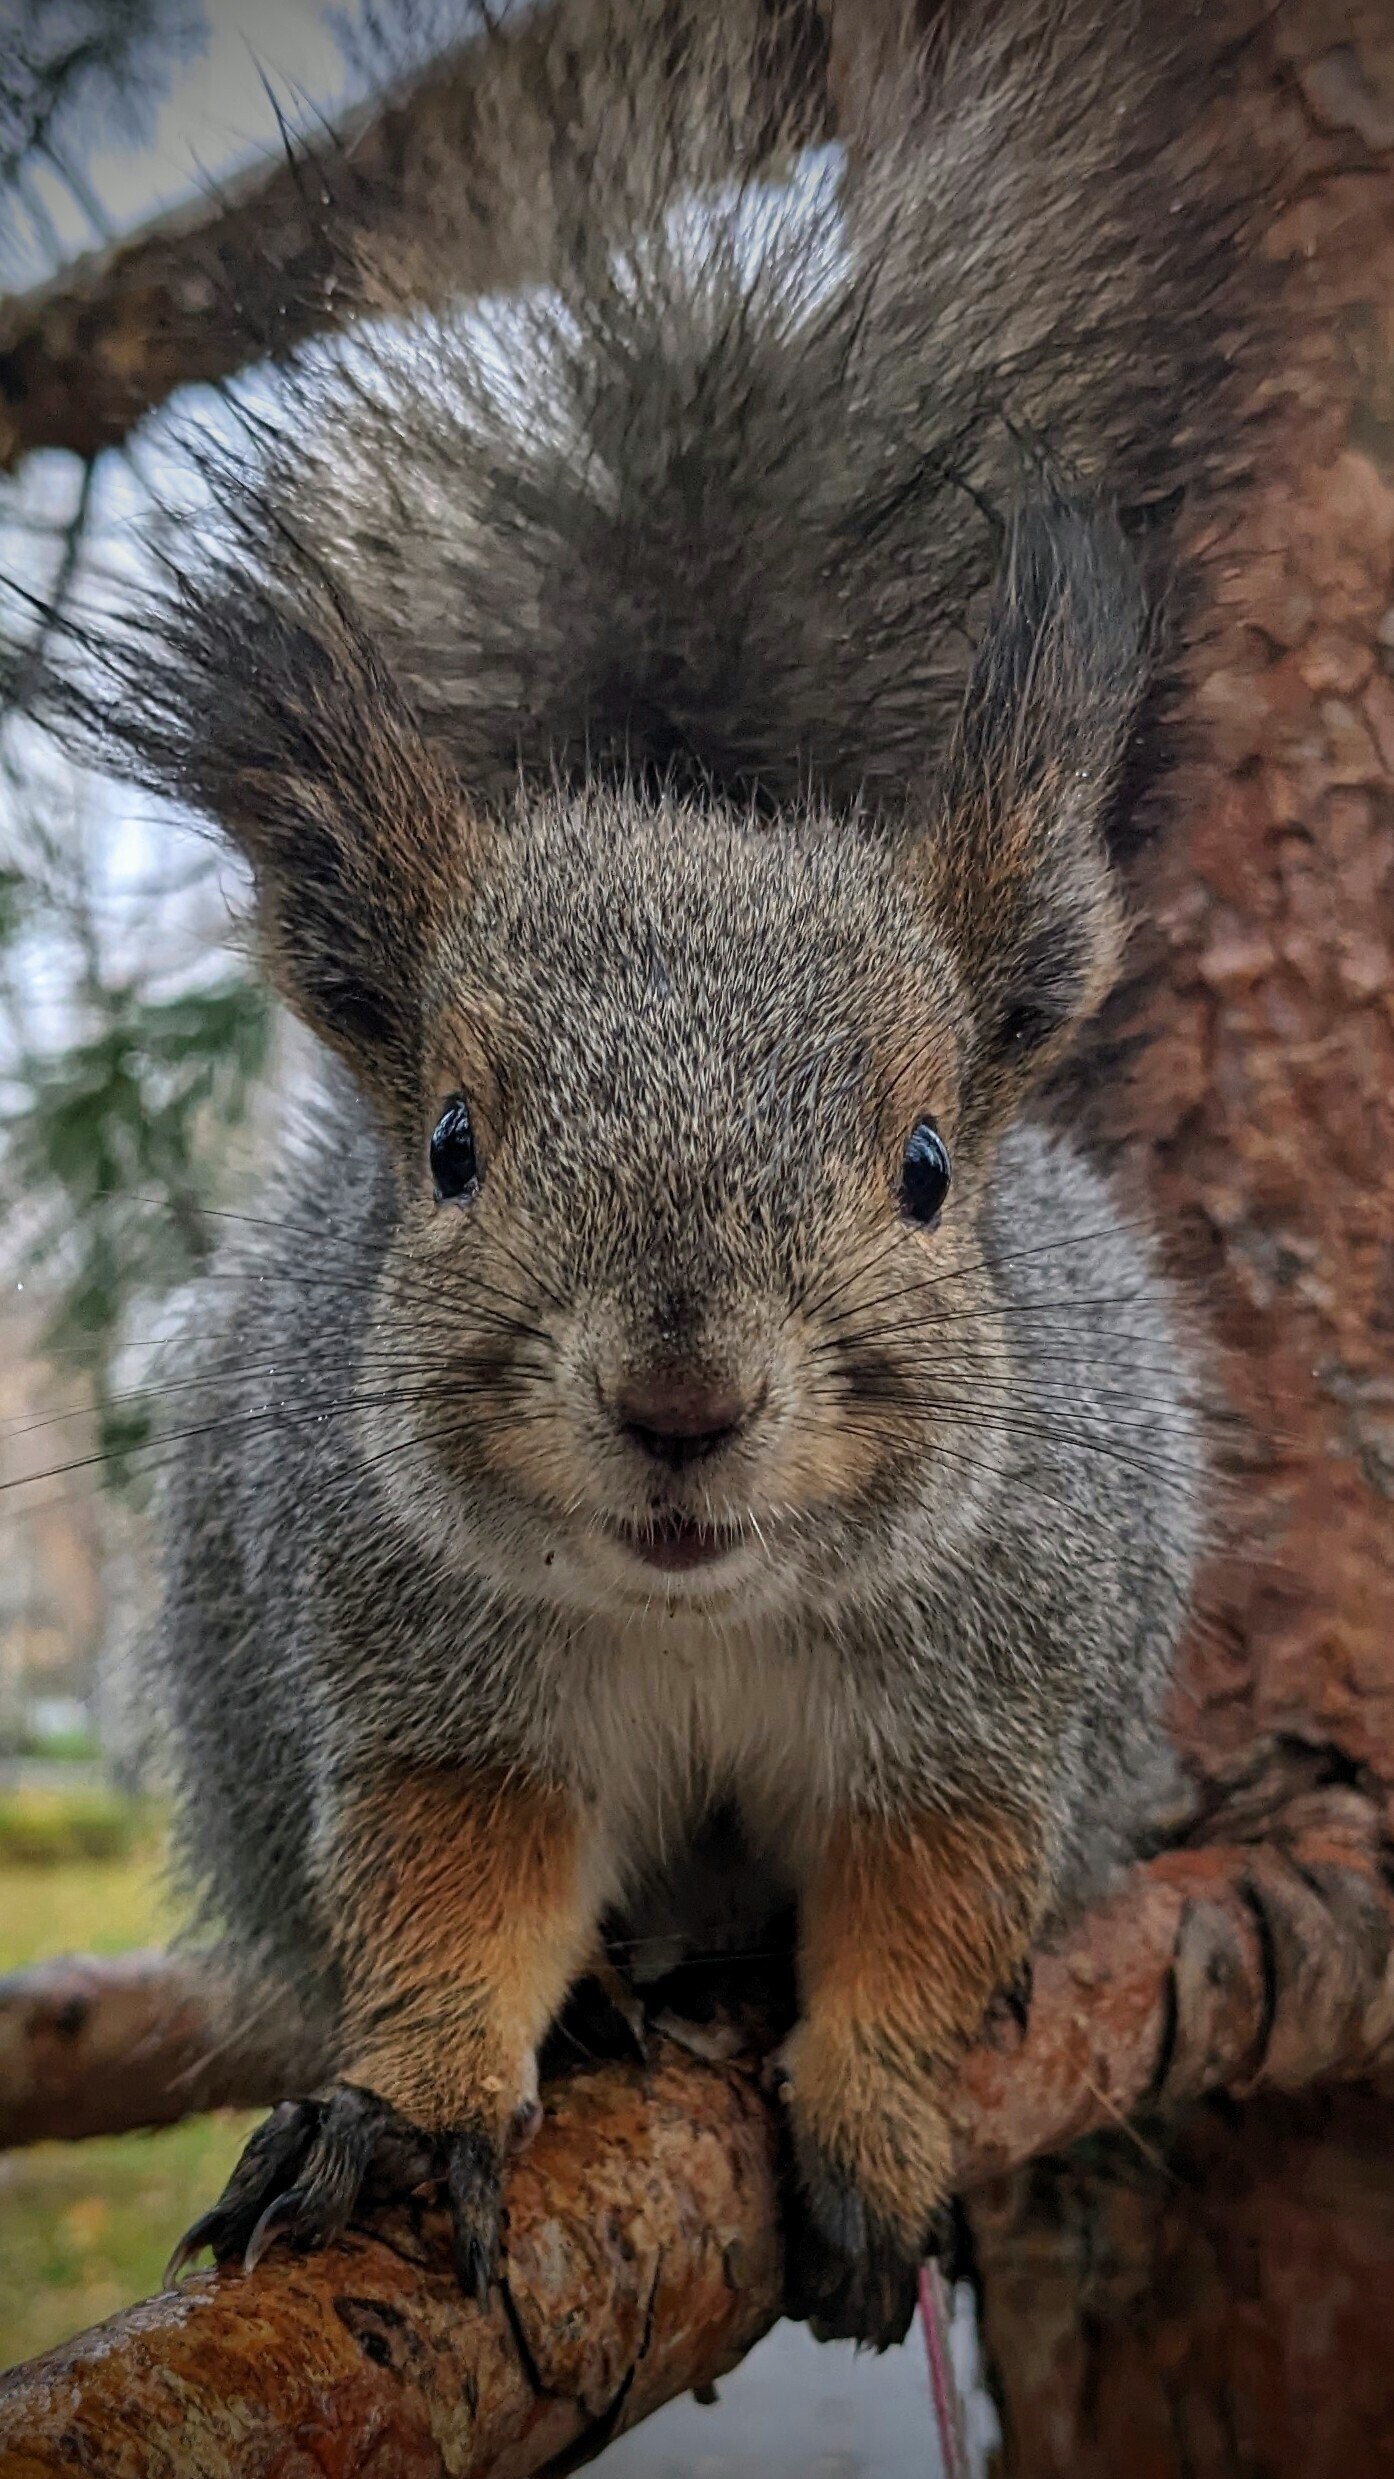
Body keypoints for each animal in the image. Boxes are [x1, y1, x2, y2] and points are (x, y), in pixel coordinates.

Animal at [65, 0, 1258, 2348]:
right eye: (448, 1146)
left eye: (925, 1163)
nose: (681, 1403)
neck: (700, 1611)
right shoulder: (426, 1689)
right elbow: (450, 1897)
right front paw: (410, 2104)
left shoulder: (983, 1706)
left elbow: (924, 1923)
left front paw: (875, 2109)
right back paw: (623, 1989)